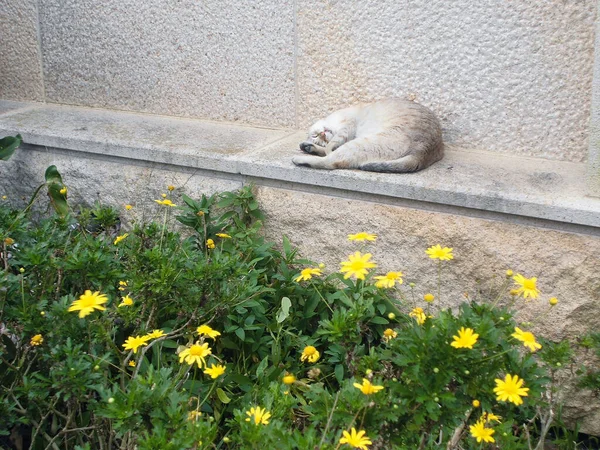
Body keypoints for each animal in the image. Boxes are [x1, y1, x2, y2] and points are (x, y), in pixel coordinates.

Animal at [292, 98, 442, 172]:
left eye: (315, 135)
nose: (322, 134)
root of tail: (423, 152)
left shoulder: (347, 126)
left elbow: (332, 145)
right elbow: (329, 147)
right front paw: (313, 146)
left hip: (359, 144)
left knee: (330, 161)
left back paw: (299, 158)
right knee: (331, 159)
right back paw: (306, 150)